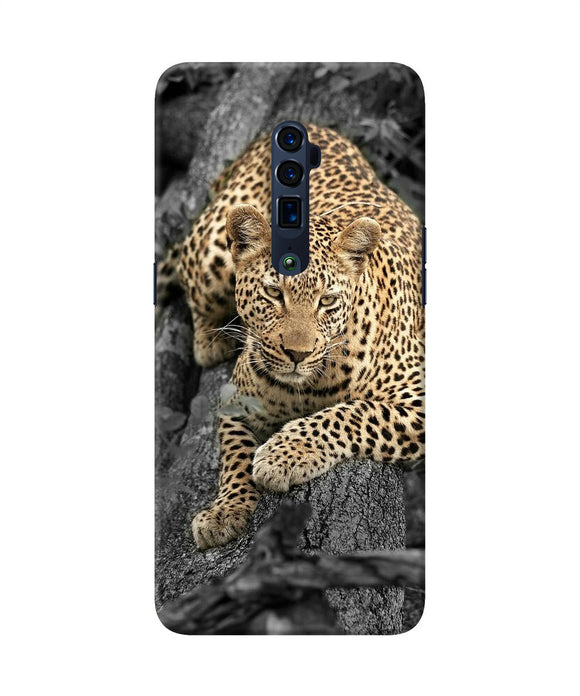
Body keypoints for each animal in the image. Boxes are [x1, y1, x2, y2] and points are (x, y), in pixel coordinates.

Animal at [162, 124, 425, 550]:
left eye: (327, 300)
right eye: (273, 293)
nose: (297, 354)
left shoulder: (418, 397)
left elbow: (353, 414)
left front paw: (282, 455)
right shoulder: (235, 399)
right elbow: (234, 455)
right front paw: (225, 510)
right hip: (211, 253)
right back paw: (210, 340)